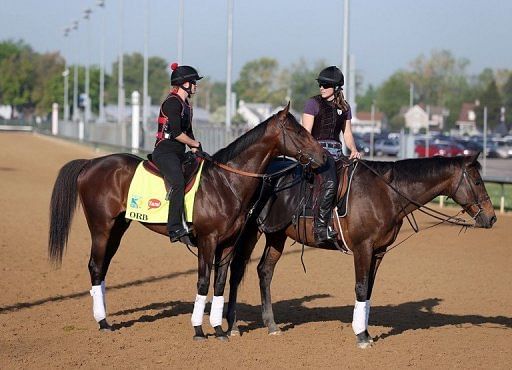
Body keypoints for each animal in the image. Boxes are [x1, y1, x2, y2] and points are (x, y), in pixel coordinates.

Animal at [50, 105, 326, 342]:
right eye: (298, 131)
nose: (323, 156)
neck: (225, 182)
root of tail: (90, 163)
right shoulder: (207, 240)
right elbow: (203, 281)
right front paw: (199, 330)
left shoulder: (227, 243)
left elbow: (219, 283)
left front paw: (219, 329)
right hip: (101, 227)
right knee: (95, 266)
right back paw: (103, 322)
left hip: (118, 228)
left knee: (103, 268)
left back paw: (104, 317)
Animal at [227, 153, 496, 346]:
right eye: (477, 181)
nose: (492, 218)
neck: (386, 193)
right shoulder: (362, 248)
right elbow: (359, 287)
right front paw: (361, 336)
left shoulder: (378, 251)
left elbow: (368, 290)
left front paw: (364, 331)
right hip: (252, 231)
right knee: (238, 270)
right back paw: (232, 327)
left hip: (276, 235)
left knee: (265, 271)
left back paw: (271, 326)